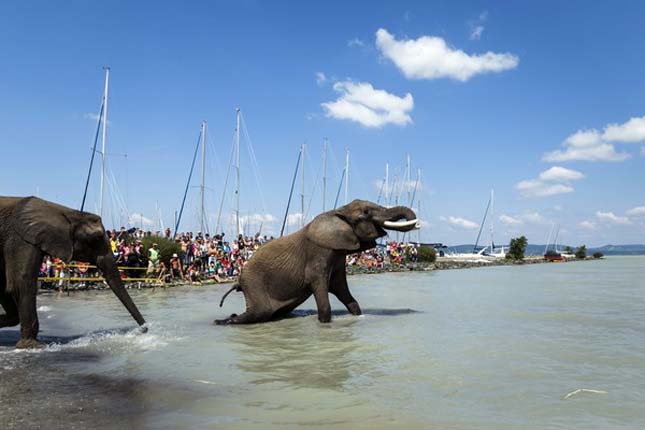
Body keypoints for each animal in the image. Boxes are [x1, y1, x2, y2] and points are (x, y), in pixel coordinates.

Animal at [0, 197, 146, 348]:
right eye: (97, 238)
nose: (145, 328)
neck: (67, 213)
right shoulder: (20, 240)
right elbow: (20, 283)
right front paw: (34, 346)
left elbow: (5, 286)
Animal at [216, 200, 418, 324]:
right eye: (366, 212)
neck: (338, 211)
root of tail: (238, 280)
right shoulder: (318, 253)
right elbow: (319, 285)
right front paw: (325, 322)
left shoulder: (337, 255)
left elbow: (341, 289)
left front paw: (357, 315)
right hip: (254, 282)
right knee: (260, 311)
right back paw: (223, 321)